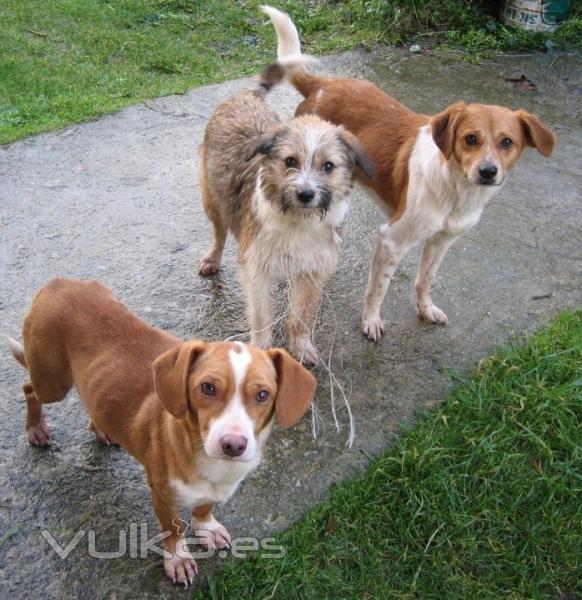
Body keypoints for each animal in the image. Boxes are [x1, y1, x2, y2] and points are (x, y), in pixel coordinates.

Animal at [6, 280, 318, 584]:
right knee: (29, 389)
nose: (233, 445)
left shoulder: (209, 490)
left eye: (263, 394)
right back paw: (36, 429)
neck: (211, 463)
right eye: (207, 387)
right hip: (52, 382)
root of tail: (56, 283)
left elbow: (203, 507)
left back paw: (100, 429)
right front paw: (177, 559)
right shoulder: (162, 494)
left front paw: (206, 527)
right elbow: (173, 529)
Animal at [200, 62, 374, 366]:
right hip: (212, 199)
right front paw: (260, 351)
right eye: (290, 161)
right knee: (219, 232)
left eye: (328, 166)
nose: (306, 194)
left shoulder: (312, 271)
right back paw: (212, 258)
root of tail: (246, 97)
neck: (297, 221)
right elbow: (262, 316)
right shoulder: (256, 267)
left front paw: (301, 346)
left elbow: (302, 314)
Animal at [264, 4, 556, 340]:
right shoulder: (392, 240)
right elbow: (379, 289)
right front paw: (371, 321)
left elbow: (425, 278)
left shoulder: (442, 241)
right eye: (470, 138)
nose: (487, 171)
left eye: (507, 142)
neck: (455, 187)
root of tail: (324, 85)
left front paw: (425, 309)